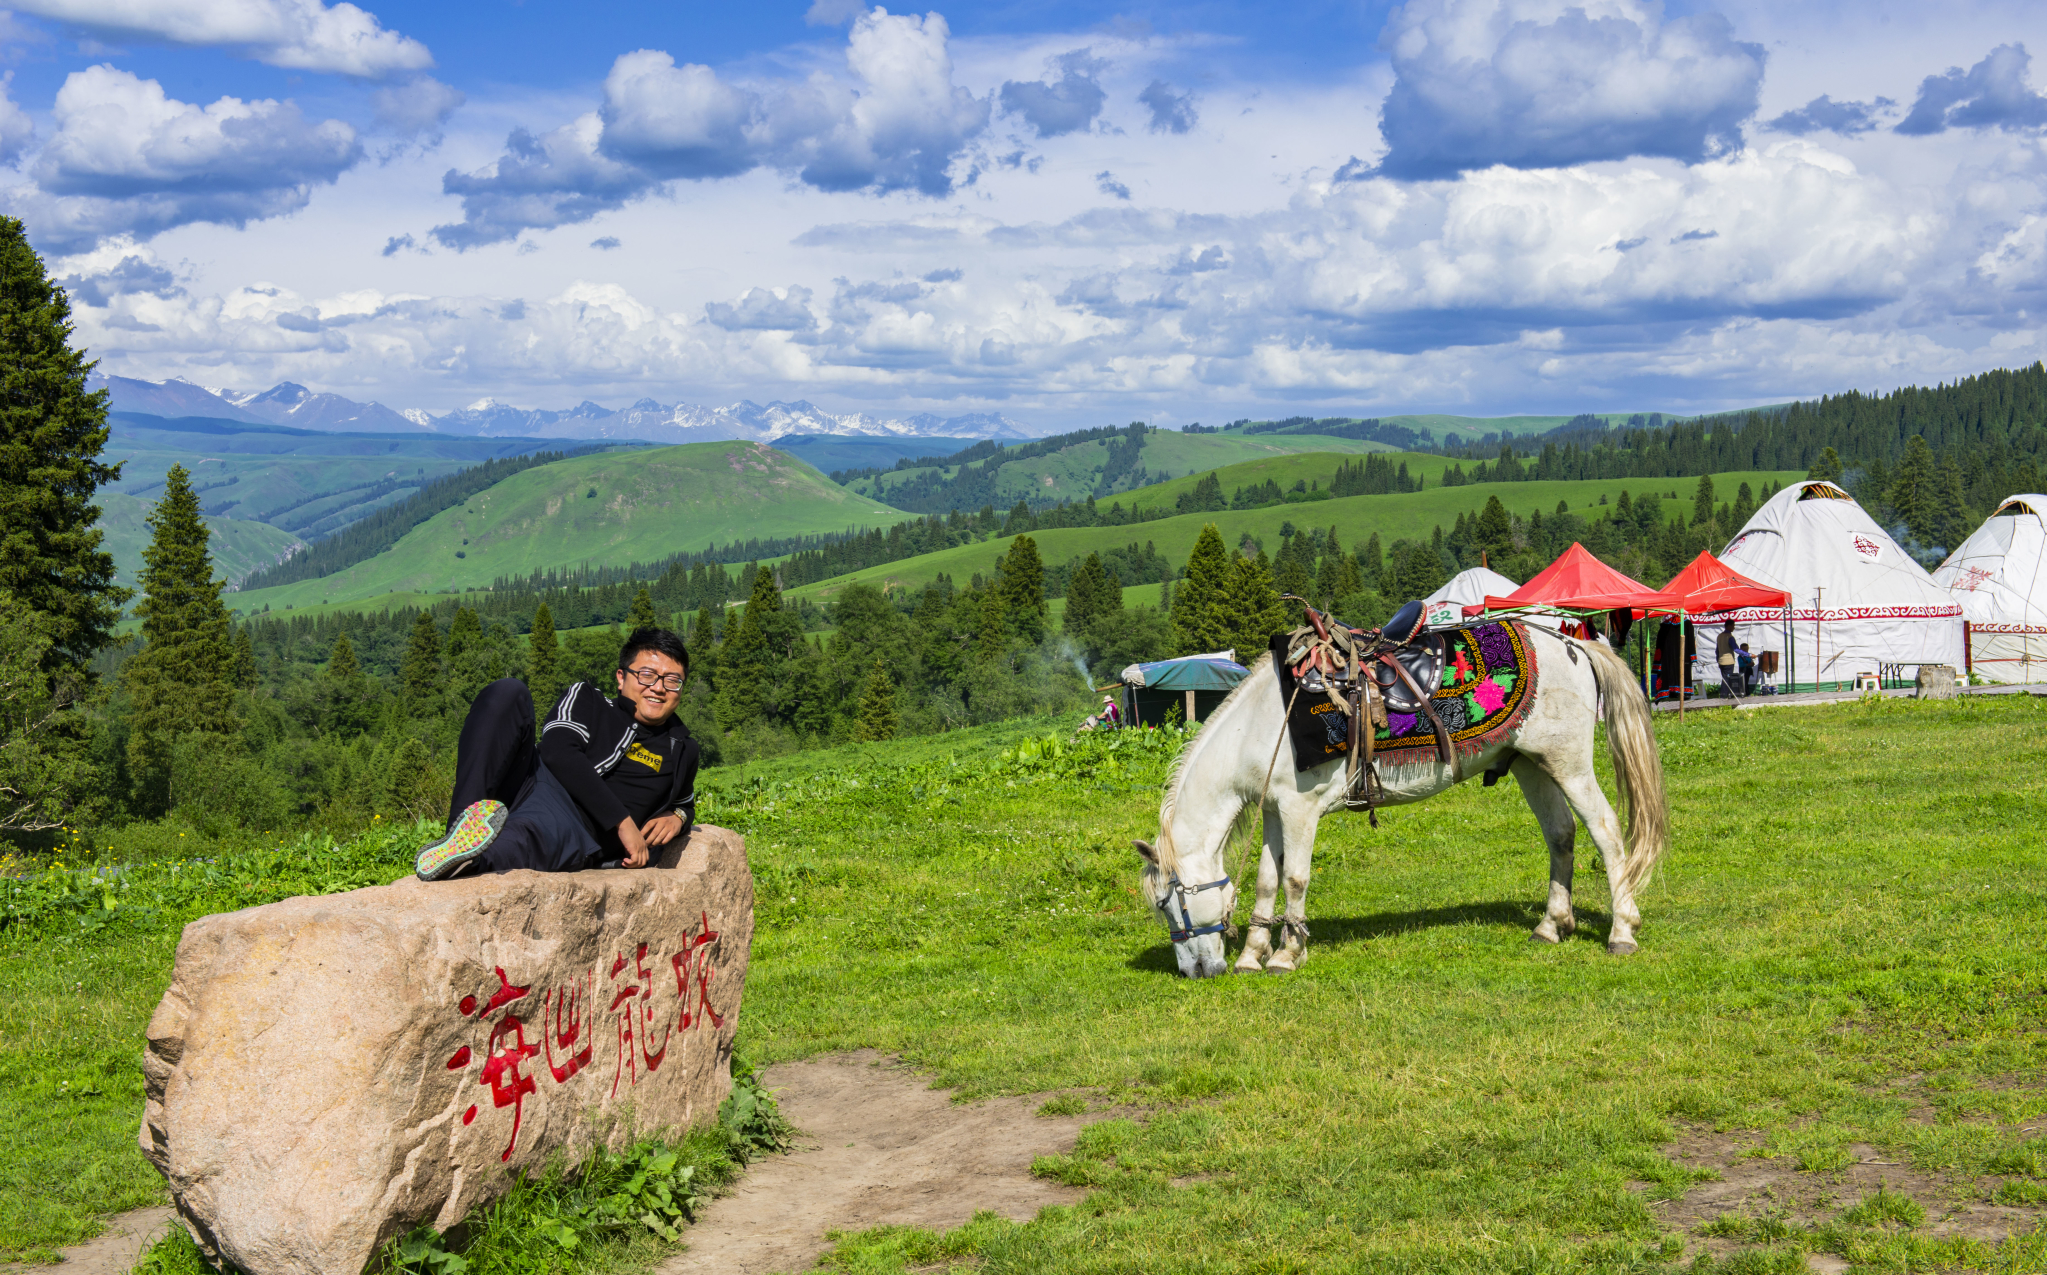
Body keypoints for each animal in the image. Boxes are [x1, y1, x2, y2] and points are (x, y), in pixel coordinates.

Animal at [1129, 626, 1670, 978]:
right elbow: (1266, 881)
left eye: (1169, 905)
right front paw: (1251, 955)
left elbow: (1295, 879)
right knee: (1561, 835)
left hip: (1569, 764)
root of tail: (1574, 643)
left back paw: (1622, 931)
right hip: (1531, 764)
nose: (1196, 972)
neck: (1265, 723)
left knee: (1606, 832)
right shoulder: (1273, 811)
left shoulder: (1300, 810)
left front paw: (1285, 955)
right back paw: (1551, 926)